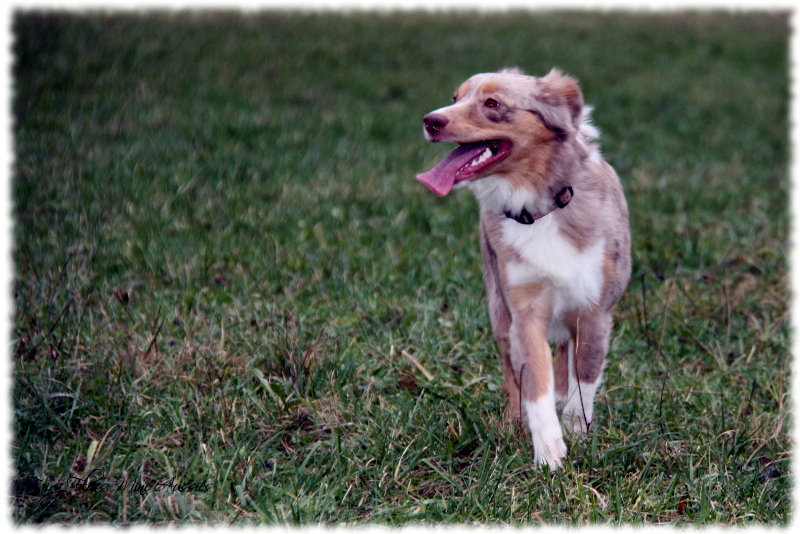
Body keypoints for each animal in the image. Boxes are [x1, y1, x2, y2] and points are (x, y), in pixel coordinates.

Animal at [416, 68, 628, 468]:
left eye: (492, 103)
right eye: (455, 98)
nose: (430, 120)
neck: (540, 205)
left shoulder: (594, 310)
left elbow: (584, 380)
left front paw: (577, 434)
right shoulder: (524, 309)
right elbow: (534, 382)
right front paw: (548, 452)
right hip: (498, 308)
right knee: (512, 371)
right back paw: (512, 423)